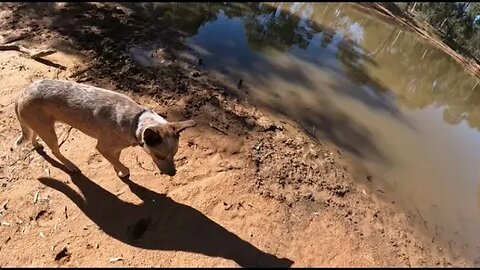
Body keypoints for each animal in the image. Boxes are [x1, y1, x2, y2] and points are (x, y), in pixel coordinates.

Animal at [13, 79, 197, 178]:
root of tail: (22, 93)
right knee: (55, 151)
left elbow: (117, 161)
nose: (173, 174)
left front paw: (118, 171)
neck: (136, 122)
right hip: (50, 133)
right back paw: (70, 166)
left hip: (40, 125)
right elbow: (125, 167)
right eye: (159, 156)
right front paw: (123, 172)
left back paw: (37, 145)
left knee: (32, 135)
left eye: (175, 154)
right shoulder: (102, 148)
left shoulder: (115, 149)